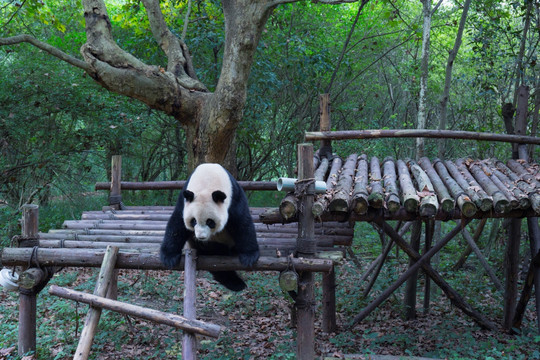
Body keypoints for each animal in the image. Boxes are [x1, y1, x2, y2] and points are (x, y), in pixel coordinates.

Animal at [160, 162, 260, 292]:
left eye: (210, 222)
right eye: (193, 221)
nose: (201, 237)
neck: (207, 181)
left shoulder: (234, 197)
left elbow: (242, 222)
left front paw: (249, 256)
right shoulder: (185, 199)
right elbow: (177, 224)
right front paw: (169, 257)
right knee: (215, 257)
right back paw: (236, 282)